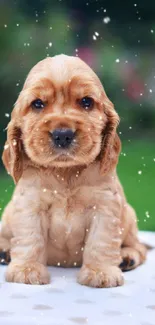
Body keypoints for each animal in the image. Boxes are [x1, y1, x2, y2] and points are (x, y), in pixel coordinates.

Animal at [0, 55, 146, 286]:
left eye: (86, 102)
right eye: (37, 104)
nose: (62, 134)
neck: (65, 172)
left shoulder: (104, 206)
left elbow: (101, 241)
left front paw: (100, 272)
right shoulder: (30, 204)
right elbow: (30, 238)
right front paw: (27, 270)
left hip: (129, 217)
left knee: (139, 246)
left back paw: (126, 257)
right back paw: (4, 251)